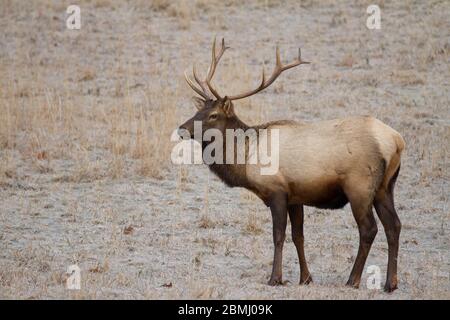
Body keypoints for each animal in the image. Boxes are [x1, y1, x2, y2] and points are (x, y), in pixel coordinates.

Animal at [178, 38, 404, 292]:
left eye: (214, 115)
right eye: (199, 109)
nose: (182, 129)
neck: (246, 159)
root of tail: (396, 141)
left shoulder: (277, 190)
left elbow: (278, 235)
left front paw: (275, 278)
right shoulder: (296, 196)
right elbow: (298, 236)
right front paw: (305, 278)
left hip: (360, 186)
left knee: (369, 229)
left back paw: (353, 279)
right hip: (385, 187)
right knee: (394, 225)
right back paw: (390, 283)